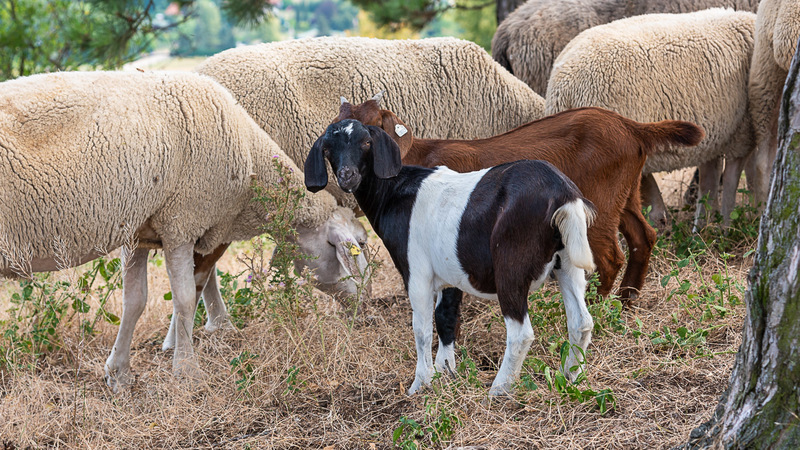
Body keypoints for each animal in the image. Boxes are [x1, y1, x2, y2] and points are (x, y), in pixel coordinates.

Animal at [0, 70, 369, 392]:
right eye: (358, 245)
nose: (365, 310)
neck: (250, 157)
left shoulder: (138, 231)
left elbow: (135, 301)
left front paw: (119, 374)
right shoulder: (181, 222)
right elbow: (186, 299)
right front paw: (187, 372)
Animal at [305, 119, 597, 395]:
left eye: (366, 142)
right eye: (328, 149)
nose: (347, 175)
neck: (395, 192)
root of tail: (563, 195)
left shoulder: (416, 272)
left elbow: (422, 329)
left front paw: (420, 384)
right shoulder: (449, 273)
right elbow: (446, 318)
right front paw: (445, 372)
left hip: (511, 264)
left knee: (520, 333)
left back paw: (499, 389)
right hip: (567, 261)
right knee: (581, 322)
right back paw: (569, 377)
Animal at [335, 98, 705, 302]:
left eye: (372, 130)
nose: (346, 173)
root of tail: (630, 126)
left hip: (598, 203)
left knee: (610, 257)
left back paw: (598, 310)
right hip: (625, 196)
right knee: (644, 236)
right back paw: (626, 302)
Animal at [545, 8, 757, 228]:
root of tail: (563, 88)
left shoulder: (717, 135)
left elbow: (713, 179)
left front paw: (708, 223)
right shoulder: (741, 131)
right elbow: (733, 177)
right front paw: (726, 223)